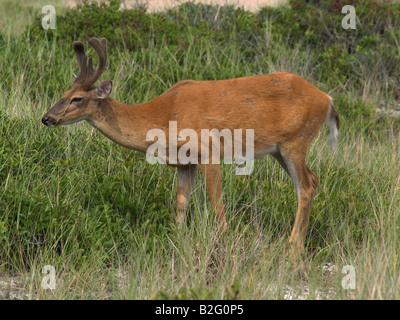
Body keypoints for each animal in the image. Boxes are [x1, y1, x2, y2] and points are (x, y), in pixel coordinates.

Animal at [42, 38, 338, 258]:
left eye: (77, 98)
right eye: (63, 93)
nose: (47, 117)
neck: (163, 117)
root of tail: (327, 99)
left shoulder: (210, 151)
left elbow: (217, 203)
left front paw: (222, 244)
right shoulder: (185, 163)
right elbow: (181, 205)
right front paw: (176, 241)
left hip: (295, 141)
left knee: (307, 185)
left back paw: (293, 248)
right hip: (279, 150)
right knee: (311, 181)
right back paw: (297, 245)